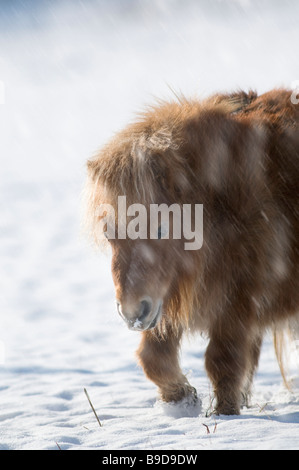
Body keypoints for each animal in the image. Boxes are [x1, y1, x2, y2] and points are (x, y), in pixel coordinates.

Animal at [84, 88, 299, 414]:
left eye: (161, 228)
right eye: (109, 231)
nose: (132, 313)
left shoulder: (237, 301)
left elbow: (223, 362)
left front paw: (226, 414)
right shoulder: (168, 295)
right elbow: (153, 358)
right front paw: (181, 398)